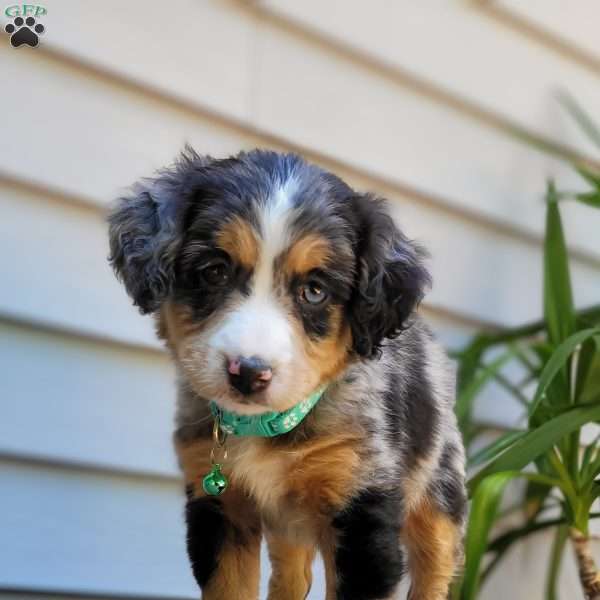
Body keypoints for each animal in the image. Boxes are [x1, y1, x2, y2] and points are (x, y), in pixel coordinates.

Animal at [110, 149, 468, 600]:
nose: (248, 373)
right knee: (291, 575)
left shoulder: (362, 513)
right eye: (214, 271)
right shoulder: (219, 506)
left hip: (440, 493)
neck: (268, 427)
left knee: (435, 569)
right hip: (289, 529)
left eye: (314, 290)